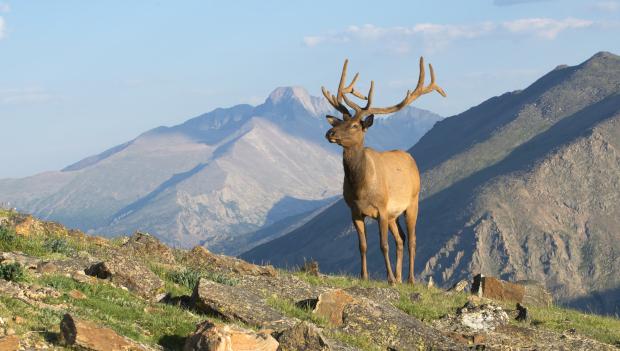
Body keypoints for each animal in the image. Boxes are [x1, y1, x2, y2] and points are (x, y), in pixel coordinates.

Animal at [320, 56, 446, 284]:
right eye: (340, 121)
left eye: (355, 125)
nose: (330, 132)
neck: (361, 188)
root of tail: (410, 158)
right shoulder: (354, 211)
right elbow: (362, 245)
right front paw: (365, 276)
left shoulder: (382, 209)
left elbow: (383, 245)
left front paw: (389, 278)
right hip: (394, 215)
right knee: (401, 238)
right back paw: (399, 277)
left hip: (412, 202)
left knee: (412, 239)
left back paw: (409, 279)